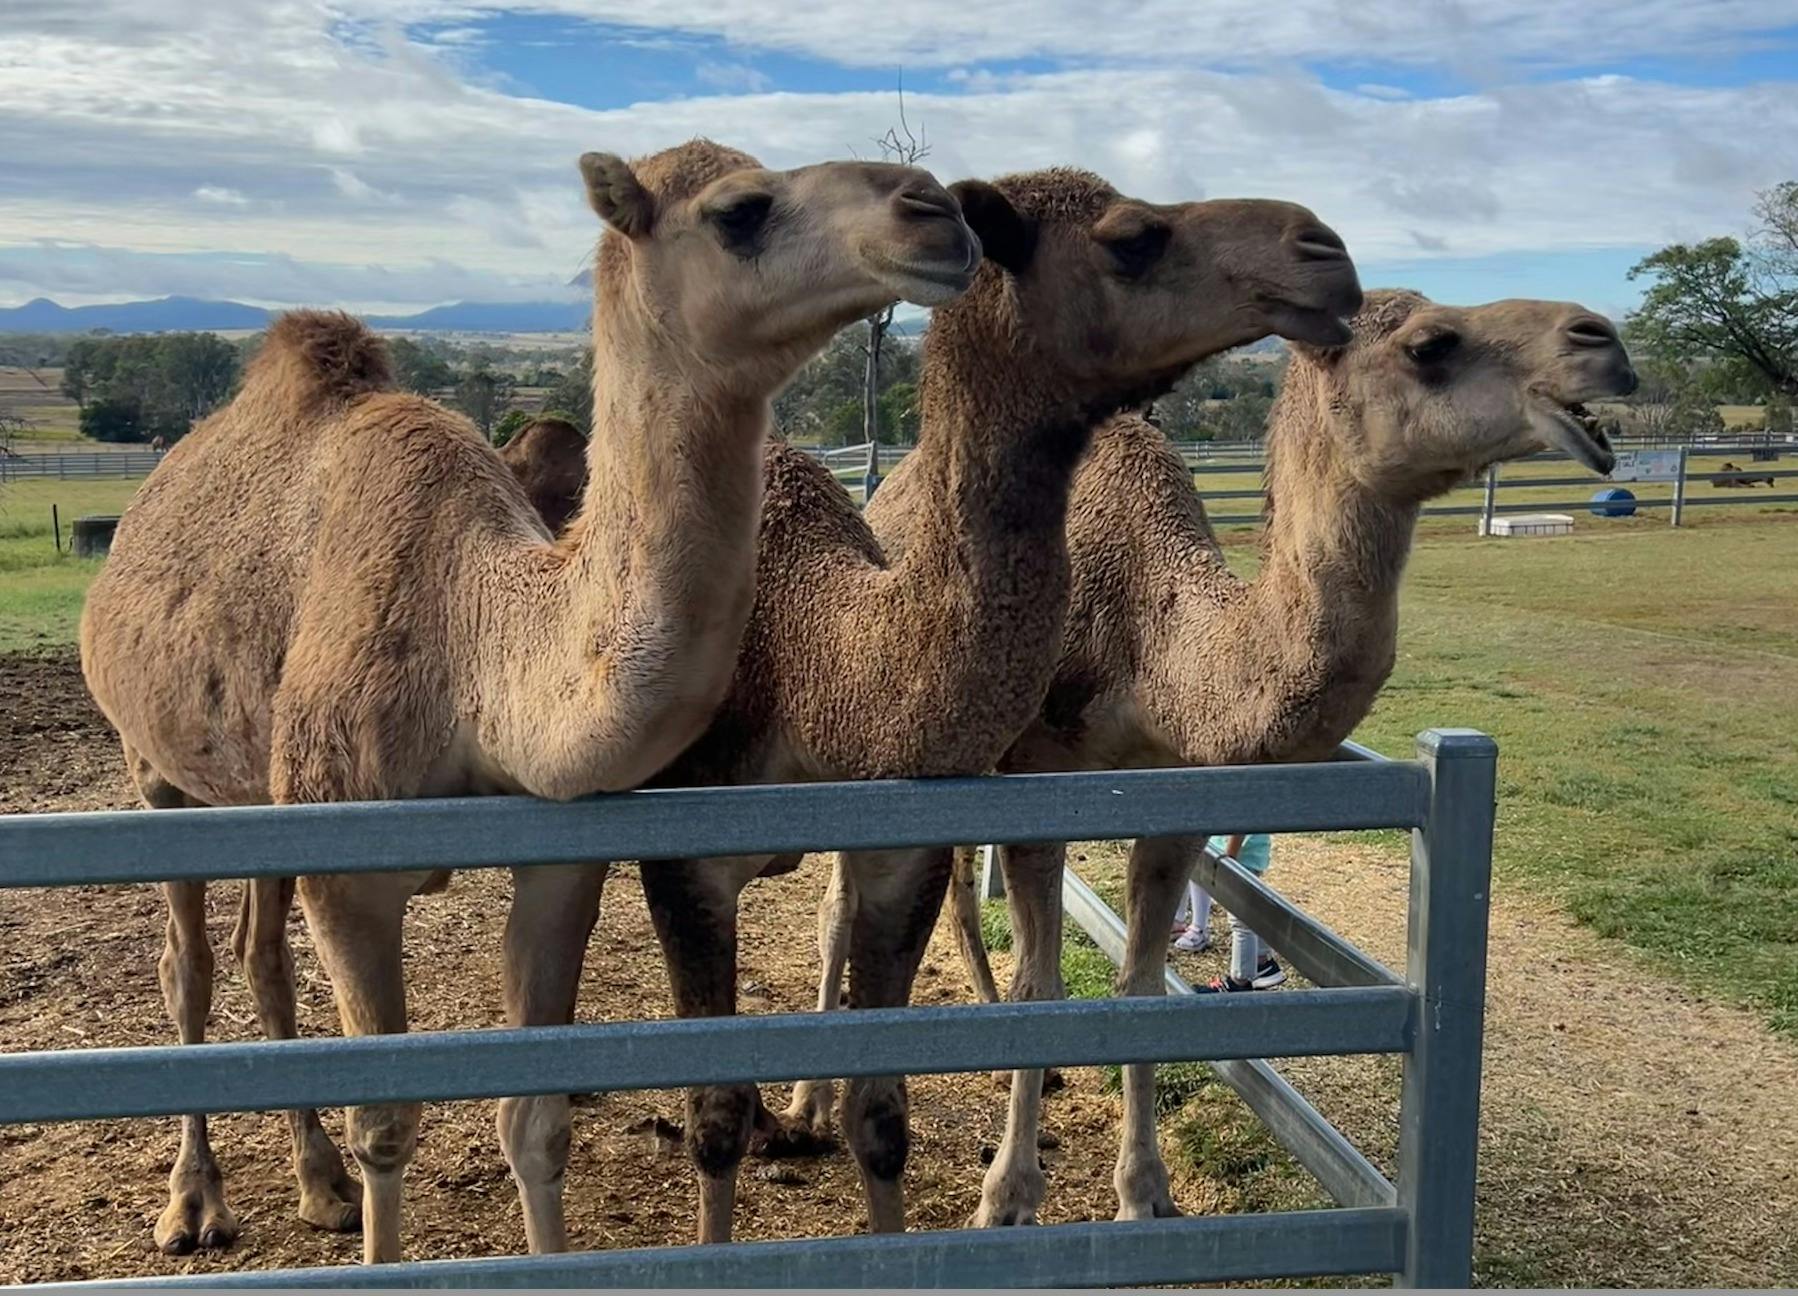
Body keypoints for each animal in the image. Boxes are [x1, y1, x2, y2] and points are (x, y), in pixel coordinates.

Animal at [78, 140, 981, 1264]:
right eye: (740, 211)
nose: (938, 212)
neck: (476, 650)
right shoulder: (350, 866)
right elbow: (388, 1119)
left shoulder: (557, 855)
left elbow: (534, 1120)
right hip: (152, 768)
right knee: (187, 966)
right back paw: (194, 1204)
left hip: (258, 792)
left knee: (258, 957)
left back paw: (318, 1186)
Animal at [551, 169, 1363, 1246]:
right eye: (1132, 237)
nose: (1323, 250)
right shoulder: (698, 860)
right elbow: (722, 1108)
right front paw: (1003, 1193)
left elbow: (940, 1077)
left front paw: (1128, 1190)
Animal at [843, 288, 1636, 1227]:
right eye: (1430, 344)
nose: (1604, 341)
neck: (1152, 648)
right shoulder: (1040, 780)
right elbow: (1045, 988)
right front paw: (1007, 1199)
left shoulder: (1178, 802)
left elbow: (1142, 989)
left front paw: (1144, 1195)